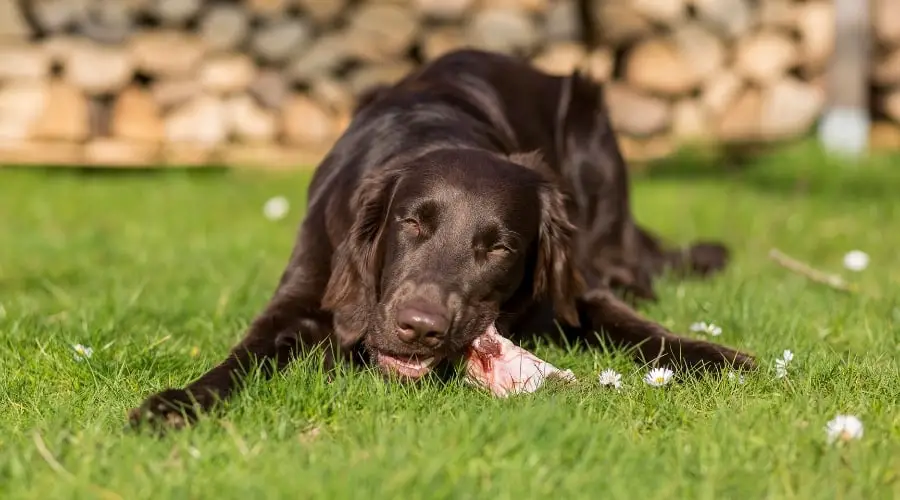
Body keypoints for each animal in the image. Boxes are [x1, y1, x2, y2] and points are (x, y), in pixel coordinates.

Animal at [130, 48, 756, 428]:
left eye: (499, 247)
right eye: (412, 222)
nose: (420, 328)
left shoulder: (575, 291)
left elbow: (635, 325)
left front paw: (718, 357)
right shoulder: (302, 293)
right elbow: (242, 356)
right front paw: (173, 404)